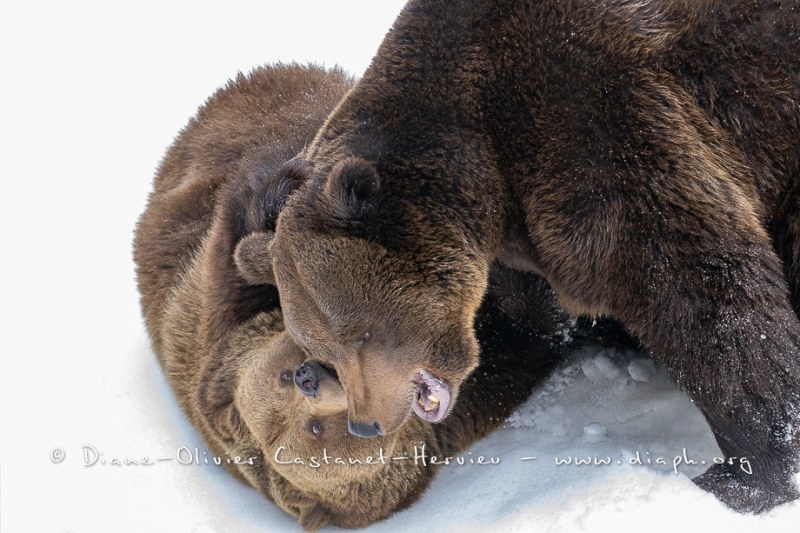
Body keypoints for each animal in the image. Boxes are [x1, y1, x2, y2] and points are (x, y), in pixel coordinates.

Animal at [266, 1, 800, 516]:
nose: (366, 424)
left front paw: (747, 476)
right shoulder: (513, 259)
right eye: (321, 345)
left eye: (360, 334)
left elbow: (698, 289)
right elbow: (529, 329)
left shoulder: (596, 122)